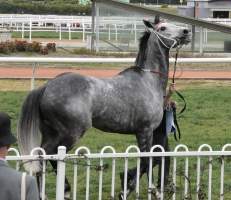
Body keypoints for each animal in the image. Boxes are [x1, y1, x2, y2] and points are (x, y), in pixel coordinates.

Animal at [18, 16, 190, 199]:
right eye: (163, 28)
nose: (186, 32)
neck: (148, 80)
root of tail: (46, 87)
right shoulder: (145, 131)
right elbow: (146, 160)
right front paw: (132, 189)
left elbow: (152, 160)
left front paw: (134, 186)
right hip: (71, 133)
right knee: (48, 154)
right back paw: (61, 190)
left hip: (50, 132)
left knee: (42, 155)